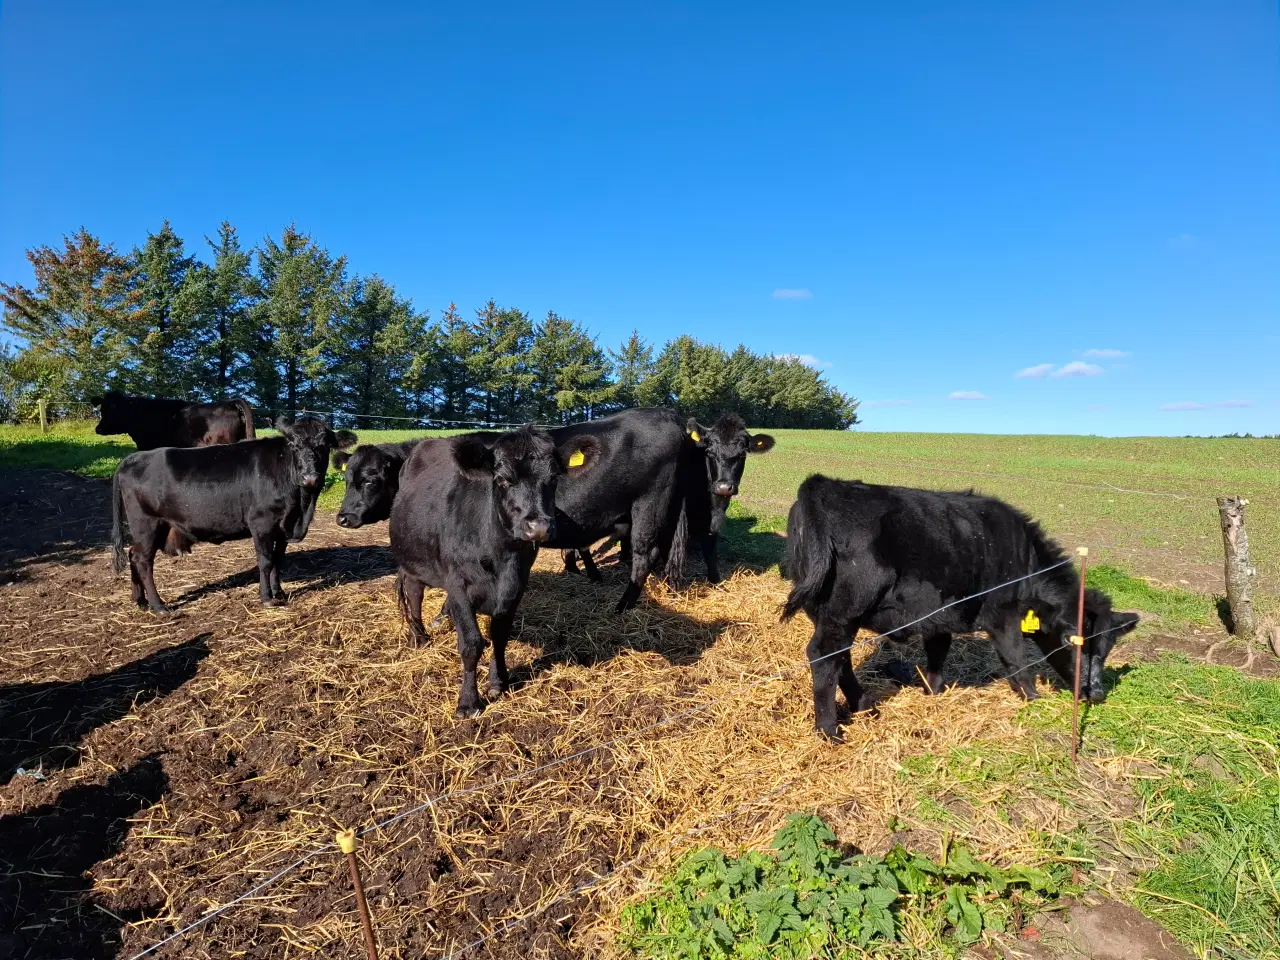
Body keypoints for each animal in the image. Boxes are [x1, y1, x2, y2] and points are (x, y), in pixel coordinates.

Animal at [109, 417, 355, 611]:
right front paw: (266, 597)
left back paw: (140, 601)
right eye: (294, 445)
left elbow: (278, 560)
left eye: (324, 445)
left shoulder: (283, 526)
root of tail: (134, 458)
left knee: (133, 555)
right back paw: (158, 605)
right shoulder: (262, 523)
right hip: (146, 523)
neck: (301, 507)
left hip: (156, 527)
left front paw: (280, 593)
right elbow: (266, 561)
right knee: (143, 560)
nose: (310, 478)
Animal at [391, 427, 591, 716]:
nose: (539, 527)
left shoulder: (516, 584)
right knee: (414, 592)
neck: (501, 554)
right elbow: (471, 643)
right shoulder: (458, 584)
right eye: (503, 480)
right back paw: (419, 637)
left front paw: (498, 682)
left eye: (553, 478)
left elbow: (499, 635)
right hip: (413, 559)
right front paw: (468, 702)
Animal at [778, 478, 1141, 742]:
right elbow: (1016, 660)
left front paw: (933, 691)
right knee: (825, 656)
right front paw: (1033, 699)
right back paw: (829, 730)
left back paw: (864, 705)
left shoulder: (940, 614)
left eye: (1107, 648)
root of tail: (824, 485)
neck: (1024, 559)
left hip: (832, 615)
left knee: (841, 658)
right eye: (1068, 638)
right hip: (842, 612)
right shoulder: (1003, 615)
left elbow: (938, 654)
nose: (1095, 693)